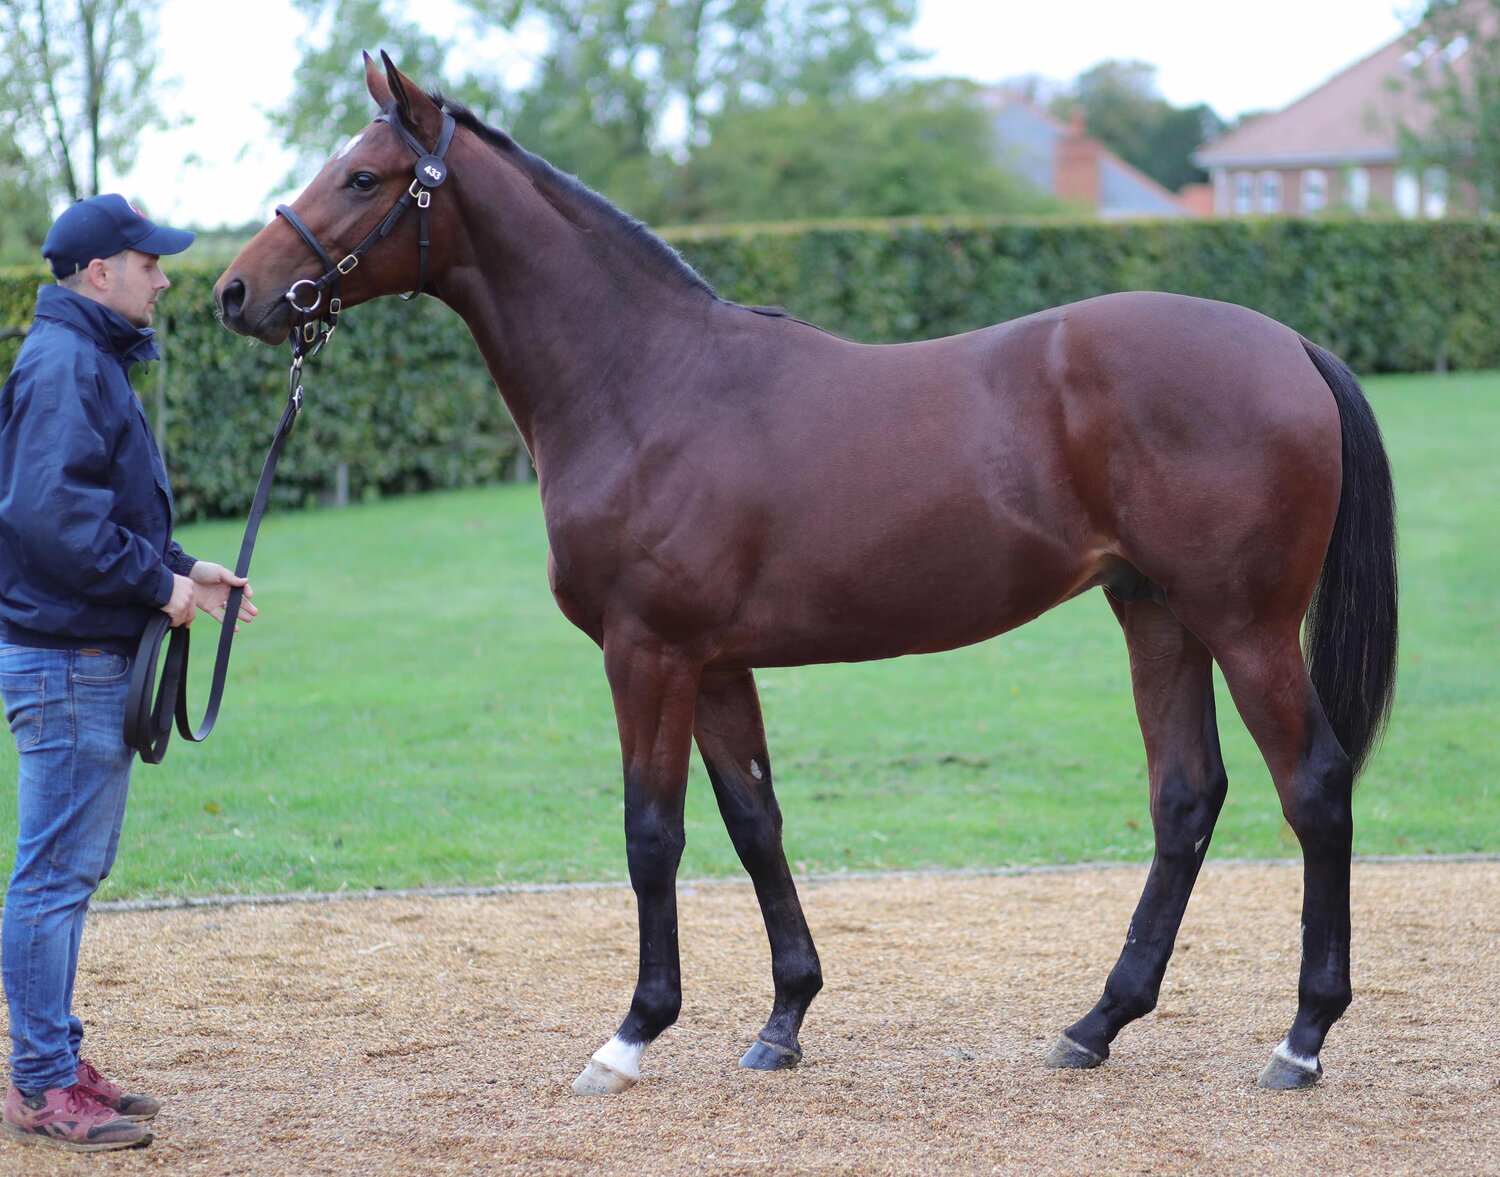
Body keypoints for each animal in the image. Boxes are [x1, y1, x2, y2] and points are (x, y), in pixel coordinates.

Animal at [217, 55, 1398, 1097]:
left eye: (364, 176)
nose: (236, 292)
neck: (647, 383)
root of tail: (1289, 344)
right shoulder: (715, 663)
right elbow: (754, 824)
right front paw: (783, 1019)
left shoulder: (648, 652)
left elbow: (653, 835)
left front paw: (632, 1033)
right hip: (1155, 612)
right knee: (1186, 797)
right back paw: (1096, 1023)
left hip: (1243, 624)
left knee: (1314, 787)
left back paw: (1301, 1038)